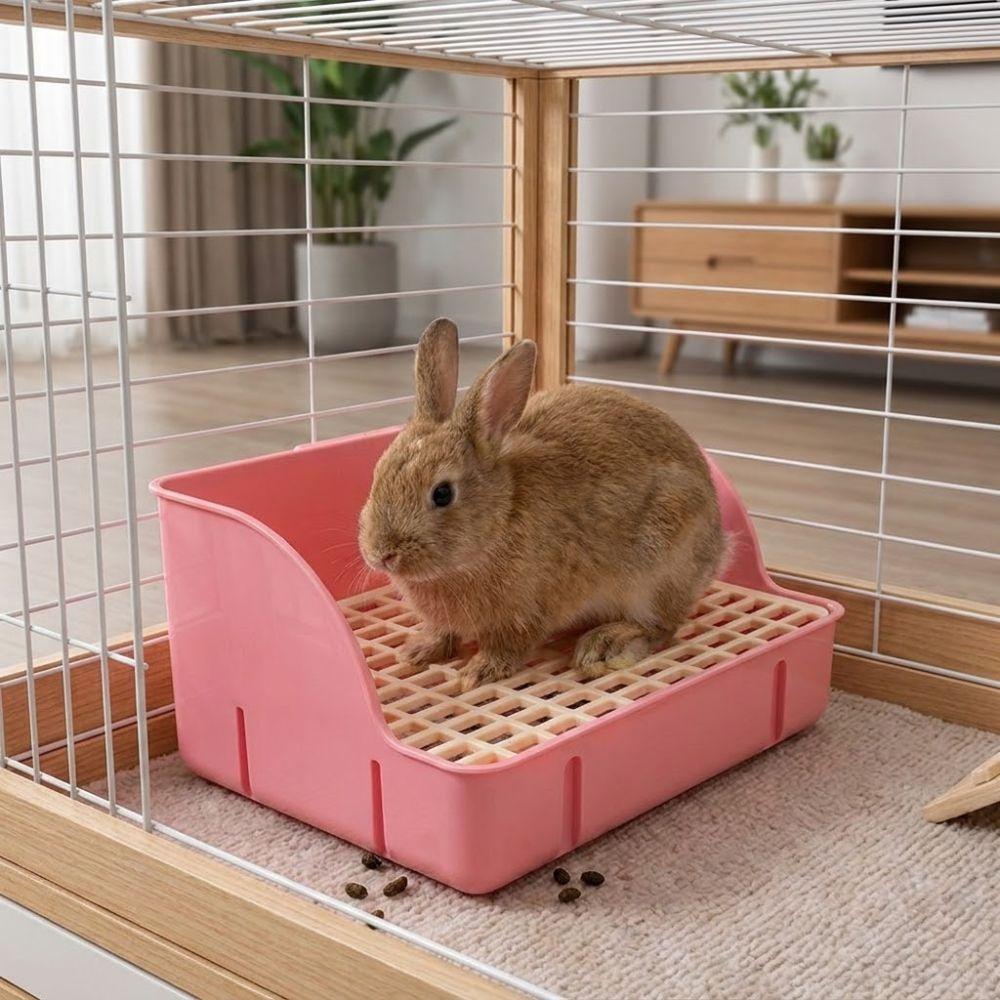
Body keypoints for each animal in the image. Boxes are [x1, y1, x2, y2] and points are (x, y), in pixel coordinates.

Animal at [358, 318, 726, 692]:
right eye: (376, 473)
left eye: (442, 493)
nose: (381, 555)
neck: (501, 518)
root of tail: (718, 548)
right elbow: (442, 633)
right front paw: (418, 650)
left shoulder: (527, 613)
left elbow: (508, 646)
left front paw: (479, 671)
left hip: (656, 571)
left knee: (662, 627)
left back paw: (605, 644)